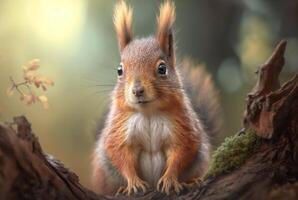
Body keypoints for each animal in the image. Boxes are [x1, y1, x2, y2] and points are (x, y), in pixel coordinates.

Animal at [92, 0, 221, 195]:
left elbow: (181, 153)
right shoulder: (118, 130)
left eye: (162, 68)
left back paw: (192, 182)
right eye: (119, 70)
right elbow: (120, 155)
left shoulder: (183, 129)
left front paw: (169, 179)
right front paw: (133, 182)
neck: (148, 113)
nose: (137, 90)